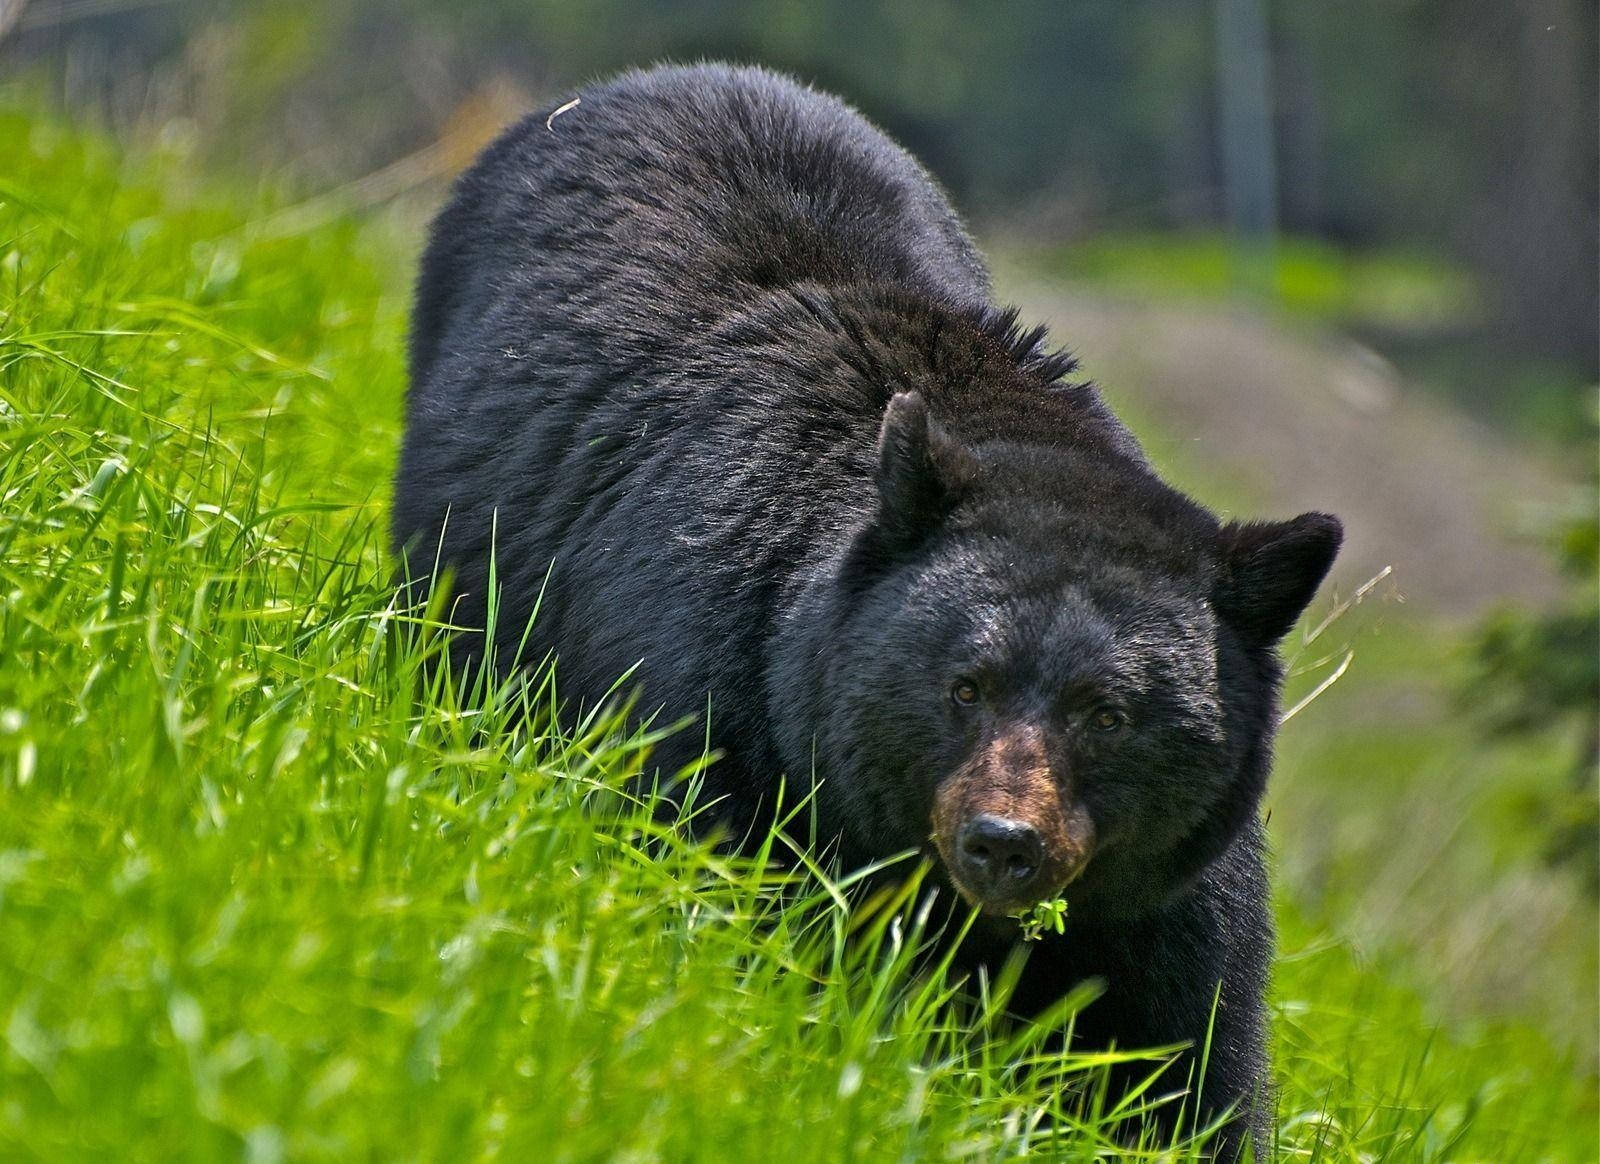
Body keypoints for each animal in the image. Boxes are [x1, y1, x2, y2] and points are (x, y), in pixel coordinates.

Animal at [393, 65, 1344, 1164]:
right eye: (963, 686)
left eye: (1109, 715)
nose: (1002, 842)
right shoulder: (719, 718)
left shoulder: (1167, 899)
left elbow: (1184, 1067)